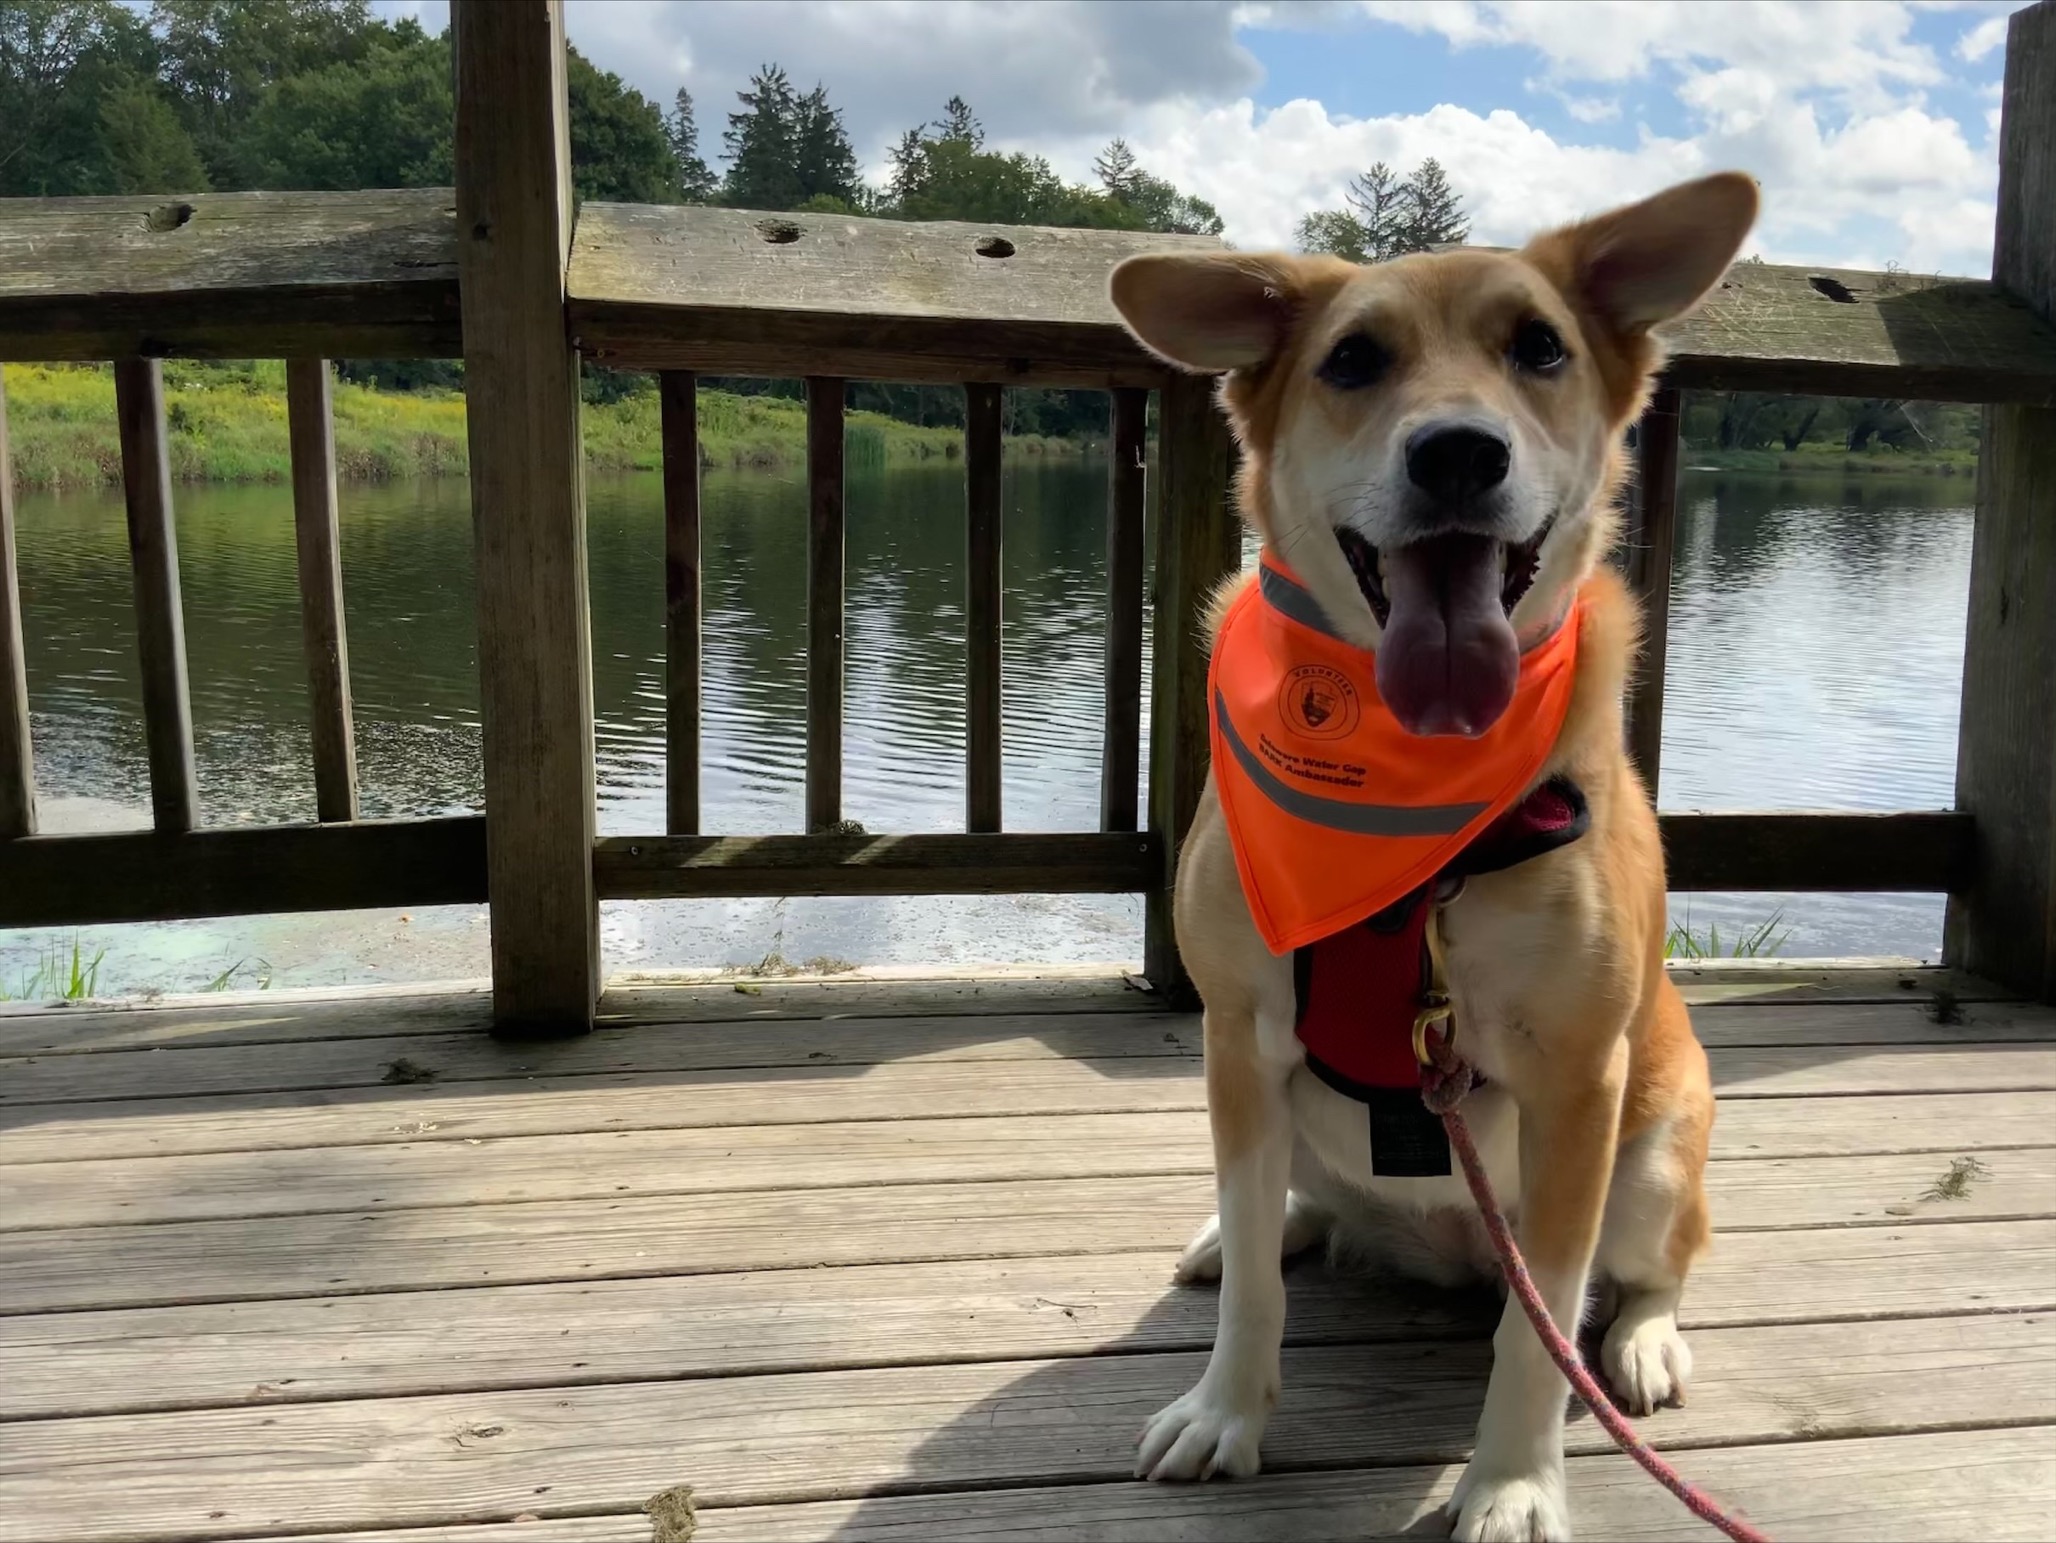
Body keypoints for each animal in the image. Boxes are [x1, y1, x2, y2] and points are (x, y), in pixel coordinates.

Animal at [1102, 174, 1759, 1538]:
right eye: (1354, 359)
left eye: (1541, 348)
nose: (1458, 451)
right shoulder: (1236, 1035)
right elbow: (1253, 1287)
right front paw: (1225, 1412)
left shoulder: (1577, 1090)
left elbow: (1538, 1331)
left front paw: (1509, 1481)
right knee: (1276, 1215)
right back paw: (1256, 1229)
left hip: (1656, 1152)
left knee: (1649, 1270)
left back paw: (1644, 1342)